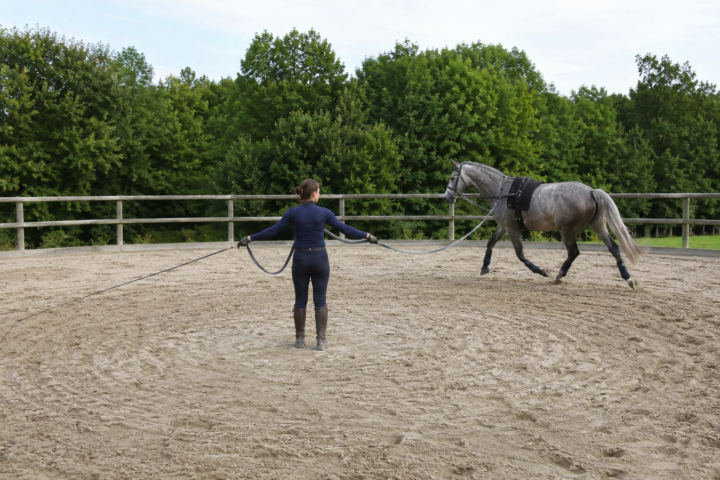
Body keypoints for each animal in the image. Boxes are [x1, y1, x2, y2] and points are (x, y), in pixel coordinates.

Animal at [444, 161, 647, 289]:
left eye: (453, 178)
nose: (447, 197)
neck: (504, 192)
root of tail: (591, 191)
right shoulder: (503, 226)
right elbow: (490, 243)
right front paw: (485, 267)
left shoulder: (512, 229)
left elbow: (520, 255)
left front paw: (542, 271)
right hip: (598, 225)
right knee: (613, 248)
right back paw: (629, 279)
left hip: (567, 230)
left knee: (574, 252)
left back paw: (558, 276)